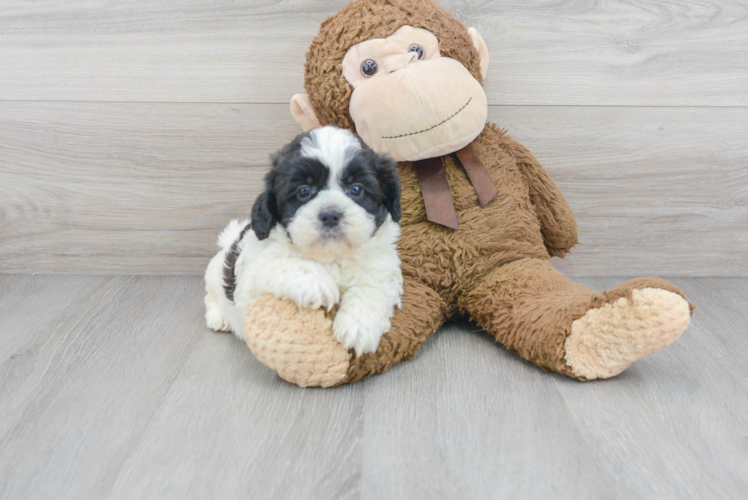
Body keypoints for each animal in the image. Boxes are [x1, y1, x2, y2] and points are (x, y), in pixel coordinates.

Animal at [203, 127, 404, 358]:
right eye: (304, 191)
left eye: (356, 189)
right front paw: (316, 282)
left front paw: (359, 327)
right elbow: (282, 263)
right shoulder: (250, 286)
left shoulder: (383, 269)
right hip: (214, 273)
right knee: (212, 294)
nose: (330, 214)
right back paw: (218, 316)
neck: (332, 257)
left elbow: (373, 288)